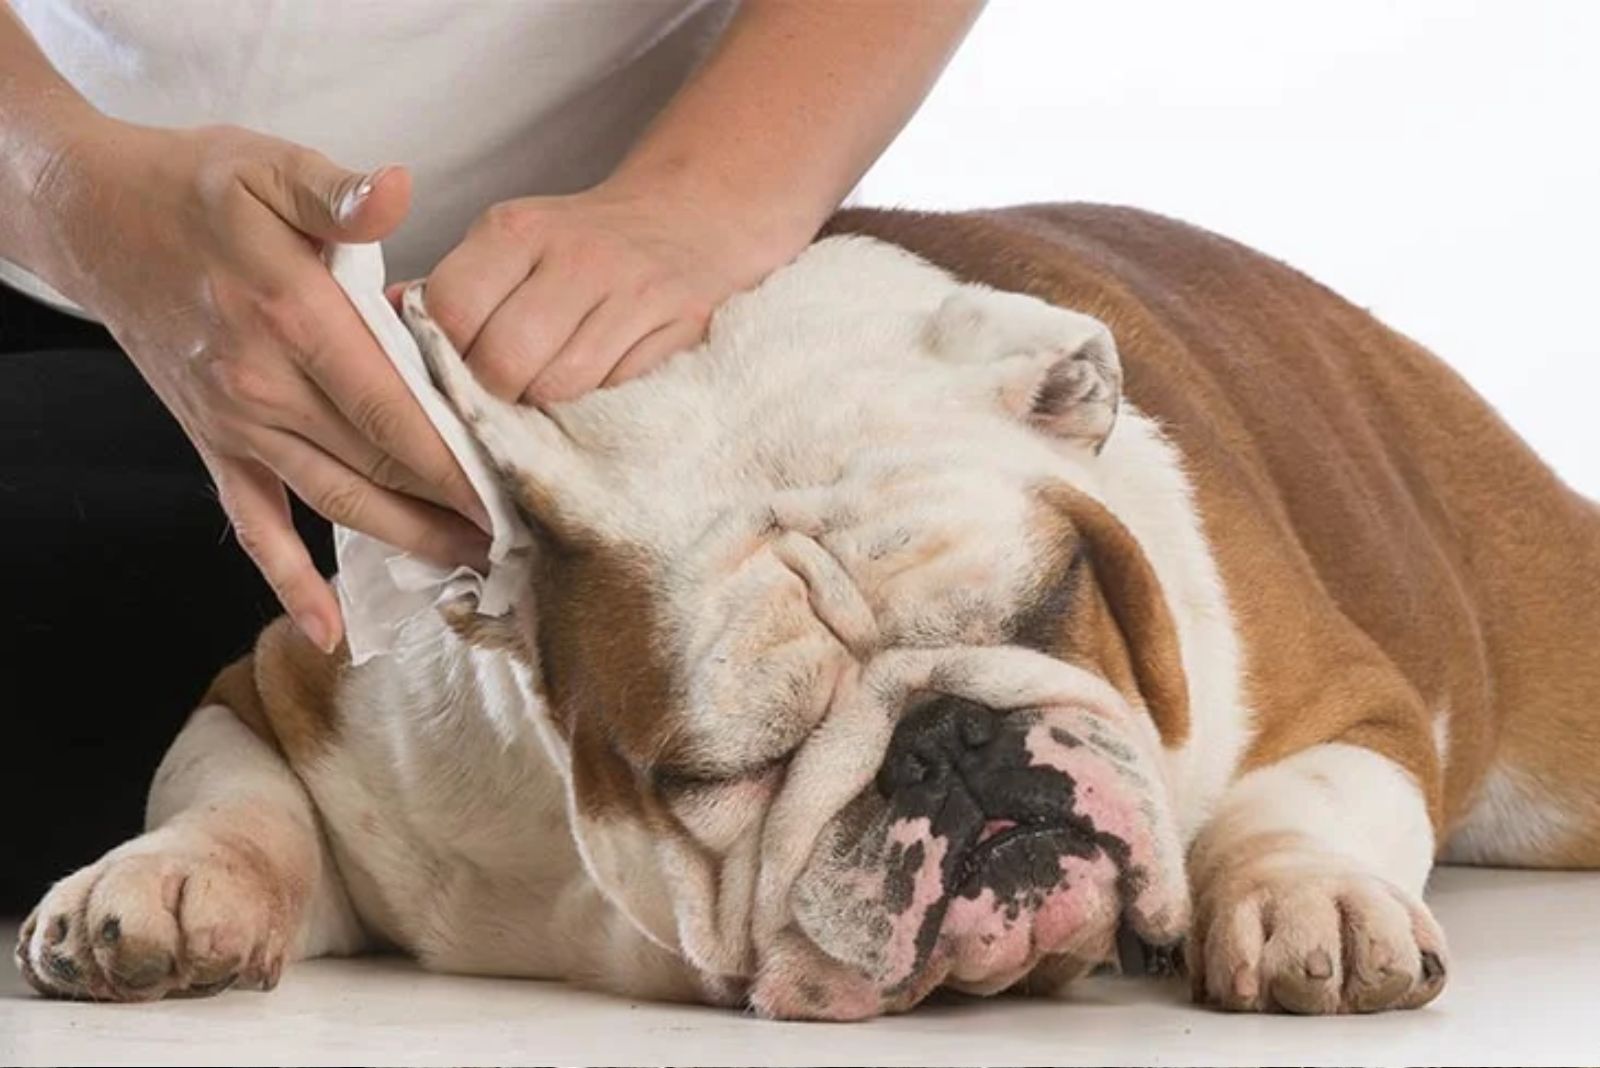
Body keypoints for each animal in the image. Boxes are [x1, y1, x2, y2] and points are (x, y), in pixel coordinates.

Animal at [18, 206, 1600, 1016]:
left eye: (1053, 600)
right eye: (730, 768)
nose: (951, 742)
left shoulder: (1349, 704)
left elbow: (1302, 801)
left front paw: (1304, 899)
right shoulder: (295, 694)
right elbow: (231, 796)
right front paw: (163, 887)